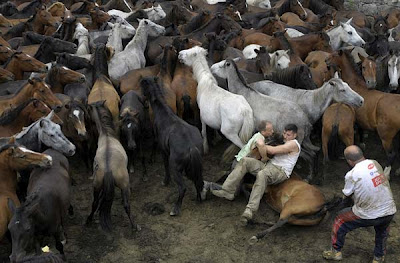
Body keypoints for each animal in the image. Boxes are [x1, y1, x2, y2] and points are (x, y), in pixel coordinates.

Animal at [85, 102, 140, 232]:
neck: (107, 135)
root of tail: (108, 168)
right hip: (124, 186)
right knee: (126, 205)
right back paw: (134, 226)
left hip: (96, 185)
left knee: (94, 202)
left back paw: (89, 220)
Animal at [141, 77, 205, 217]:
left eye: (142, 86)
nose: (143, 102)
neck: (163, 112)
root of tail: (191, 147)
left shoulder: (163, 150)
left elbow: (165, 165)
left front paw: (165, 181)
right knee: (198, 180)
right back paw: (198, 198)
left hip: (176, 168)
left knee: (182, 188)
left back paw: (175, 208)